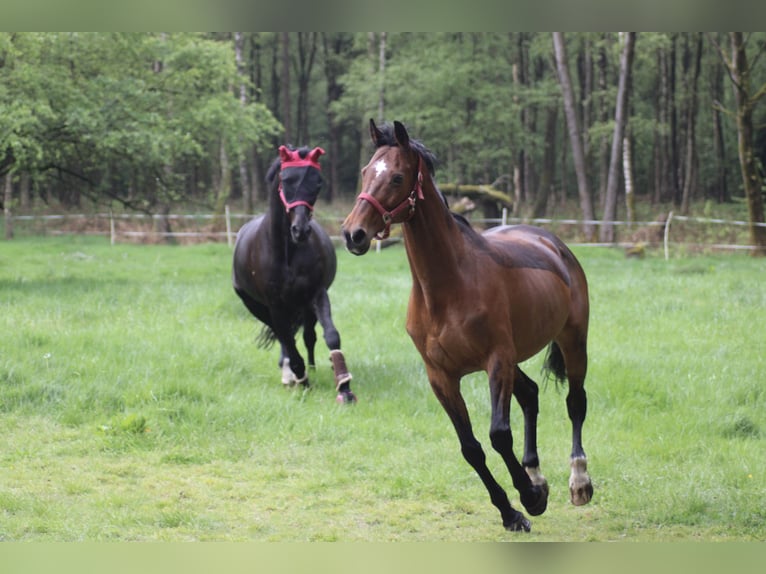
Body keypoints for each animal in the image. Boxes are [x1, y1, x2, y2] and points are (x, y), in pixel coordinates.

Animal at [234, 144, 356, 404]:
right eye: (285, 180)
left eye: (317, 182)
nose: (300, 230)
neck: (287, 253)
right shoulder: (275, 305)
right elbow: (288, 341)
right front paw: (301, 380)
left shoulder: (316, 294)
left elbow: (331, 335)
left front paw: (344, 385)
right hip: (256, 306)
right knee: (284, 337)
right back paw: (290, 373)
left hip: (303, 306)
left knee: (308, 336)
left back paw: (311, 368)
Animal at [342, 120, 592, 532]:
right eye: (365, 172)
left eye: (396, 177)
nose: (353, 234)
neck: (447, 288)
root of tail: (554, 244)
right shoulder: (441, 376)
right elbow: (471, 448)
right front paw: (514, 510)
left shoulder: (496, 361)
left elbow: (499, 435)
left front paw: (529, 498)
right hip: (517, 360)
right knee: (531, 394)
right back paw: (537, 475)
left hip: (572, 340)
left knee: (575, 402)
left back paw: (579, 482)